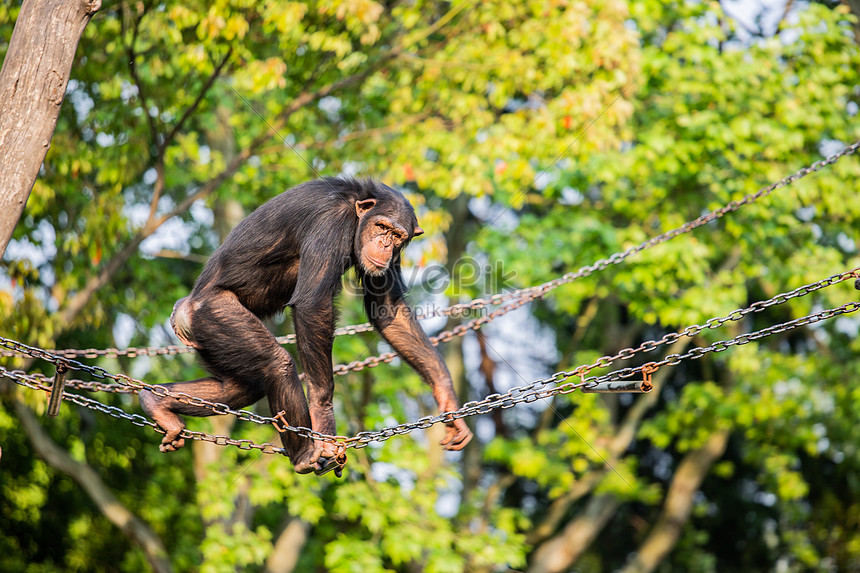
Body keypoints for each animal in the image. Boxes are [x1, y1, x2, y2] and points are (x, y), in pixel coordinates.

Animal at [144, 178, 474, 474]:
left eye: (397, 235)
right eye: (381, 227)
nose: (383, 243)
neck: (356, 213)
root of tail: (182, 313)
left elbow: (388, 309)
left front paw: (448, 402)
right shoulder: (330, 221)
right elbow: (313, 304)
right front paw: (324, 420)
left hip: (211, 341)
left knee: (241, 386)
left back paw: (158, 403)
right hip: (215, 314)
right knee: (276, 364)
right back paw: (305, 453)